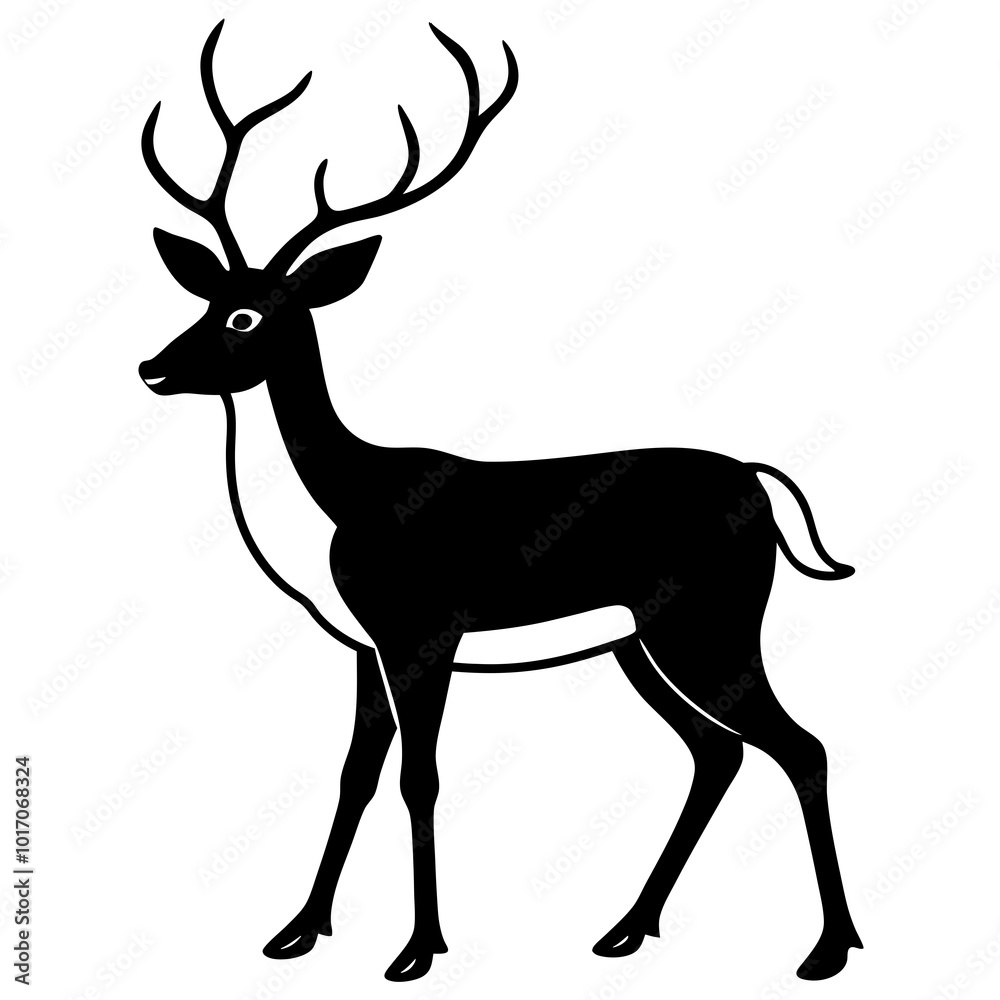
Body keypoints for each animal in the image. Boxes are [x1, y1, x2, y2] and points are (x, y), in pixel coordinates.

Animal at [138, 19, 863, 984]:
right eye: (207, 296)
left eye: (248, 316)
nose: (152, 367)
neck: (345, 498)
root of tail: (757, 478)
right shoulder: (365, 643)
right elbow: (354, 775)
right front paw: (296, 932)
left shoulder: (424, 632)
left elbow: (420, 777)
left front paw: (417, 951)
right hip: (640, 641)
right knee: (718, 751)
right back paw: (625, 929)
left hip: (708, 623)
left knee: (798, 745)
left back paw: (828, 949)